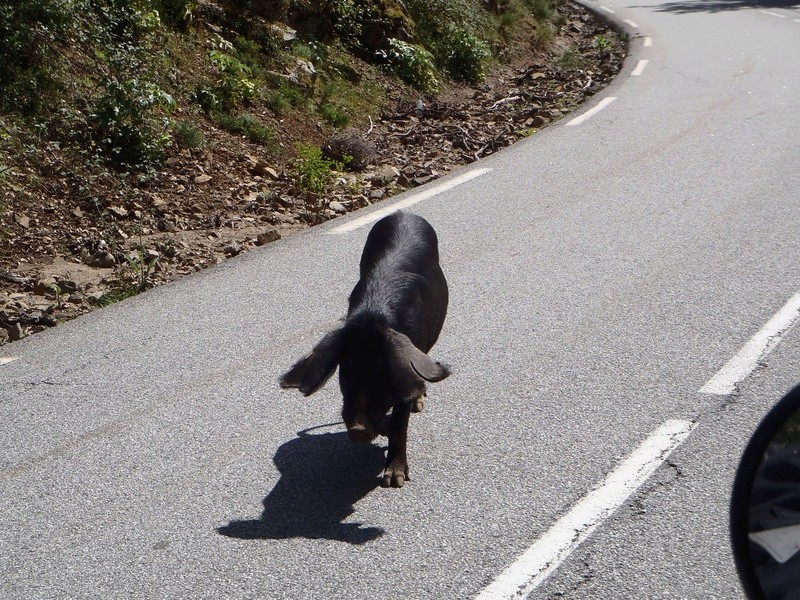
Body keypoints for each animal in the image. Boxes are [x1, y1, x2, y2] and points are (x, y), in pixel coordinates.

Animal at [280, 211, 450, 488]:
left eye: (383, 374)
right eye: (345, 372)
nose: (358, 428)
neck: (373, 319)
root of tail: (403, 213)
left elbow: (400, 423)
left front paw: (394, 481)